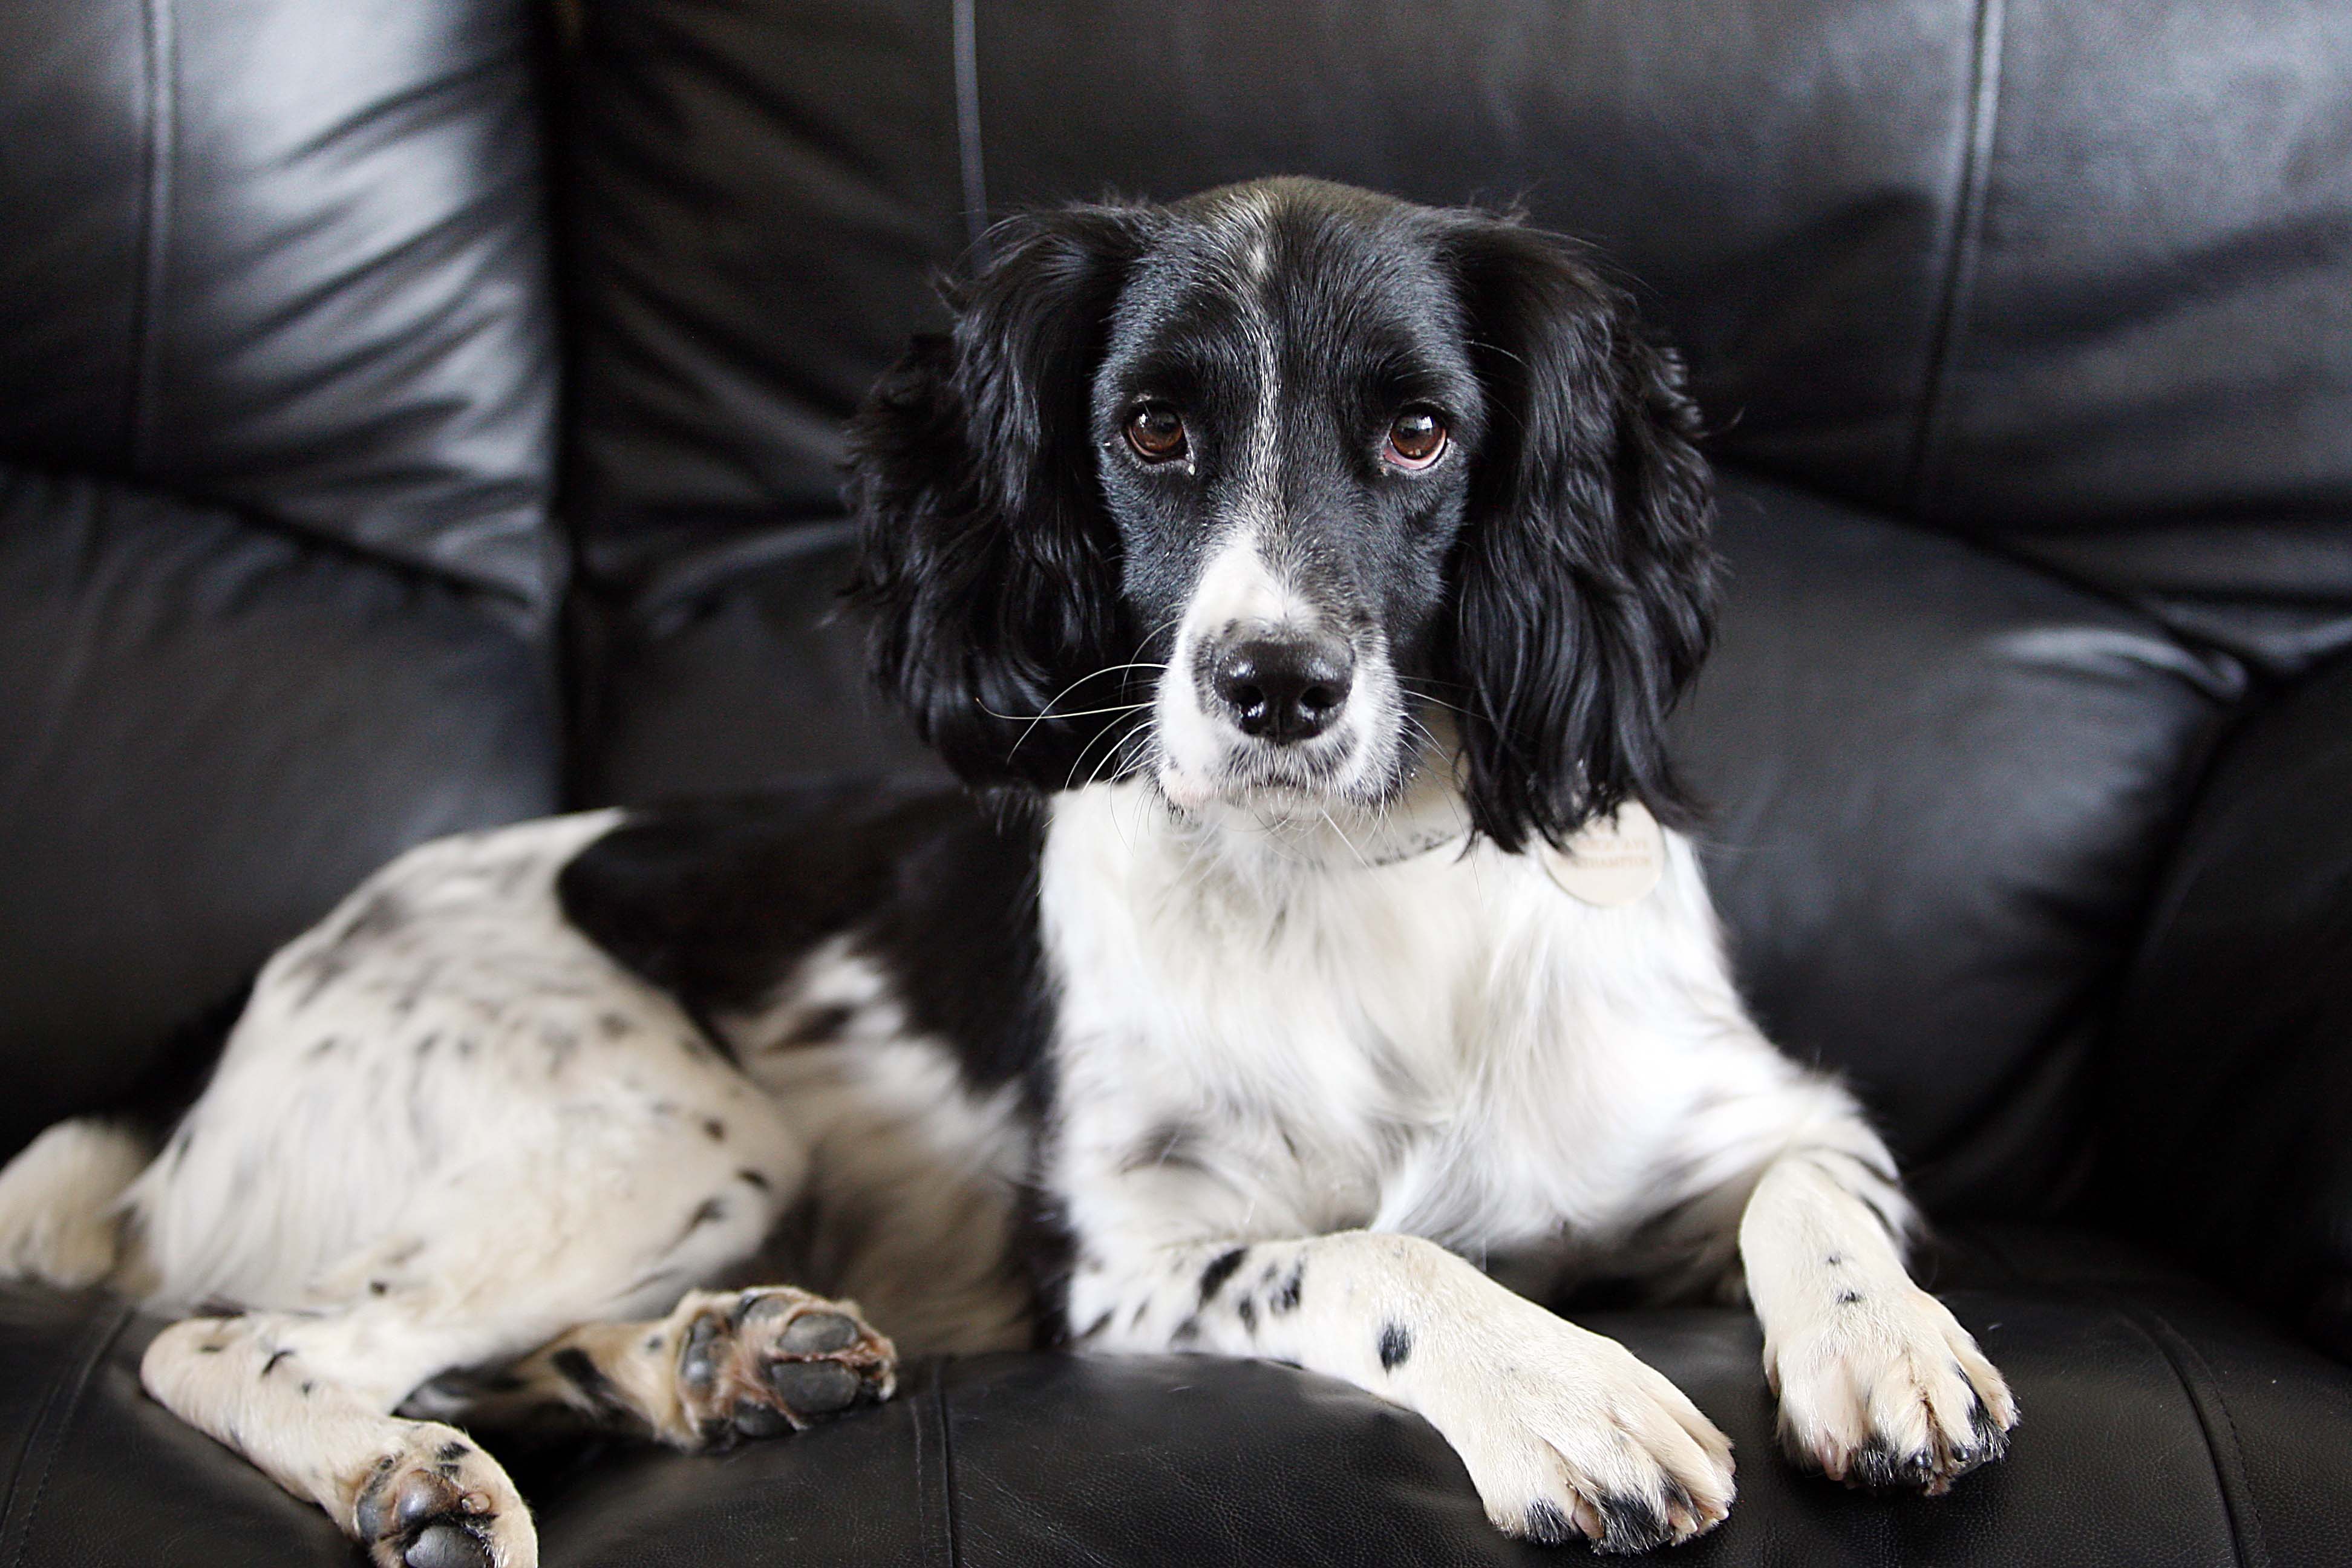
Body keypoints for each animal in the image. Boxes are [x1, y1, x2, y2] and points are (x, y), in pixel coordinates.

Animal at [0, 177, 2013, 1561]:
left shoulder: (1756, 1113)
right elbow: (1370, 1255)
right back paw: (413, 1474)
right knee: (234, 1344)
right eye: (1153, 429)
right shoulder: (1128, 1265)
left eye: (1420, 431)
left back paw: (712, 1362)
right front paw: (1563, 1391)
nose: (1273, 688)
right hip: (675, 1128)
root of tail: (230, 1010)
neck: (1348, 886)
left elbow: (1812, 1196)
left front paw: (1884, 1353)